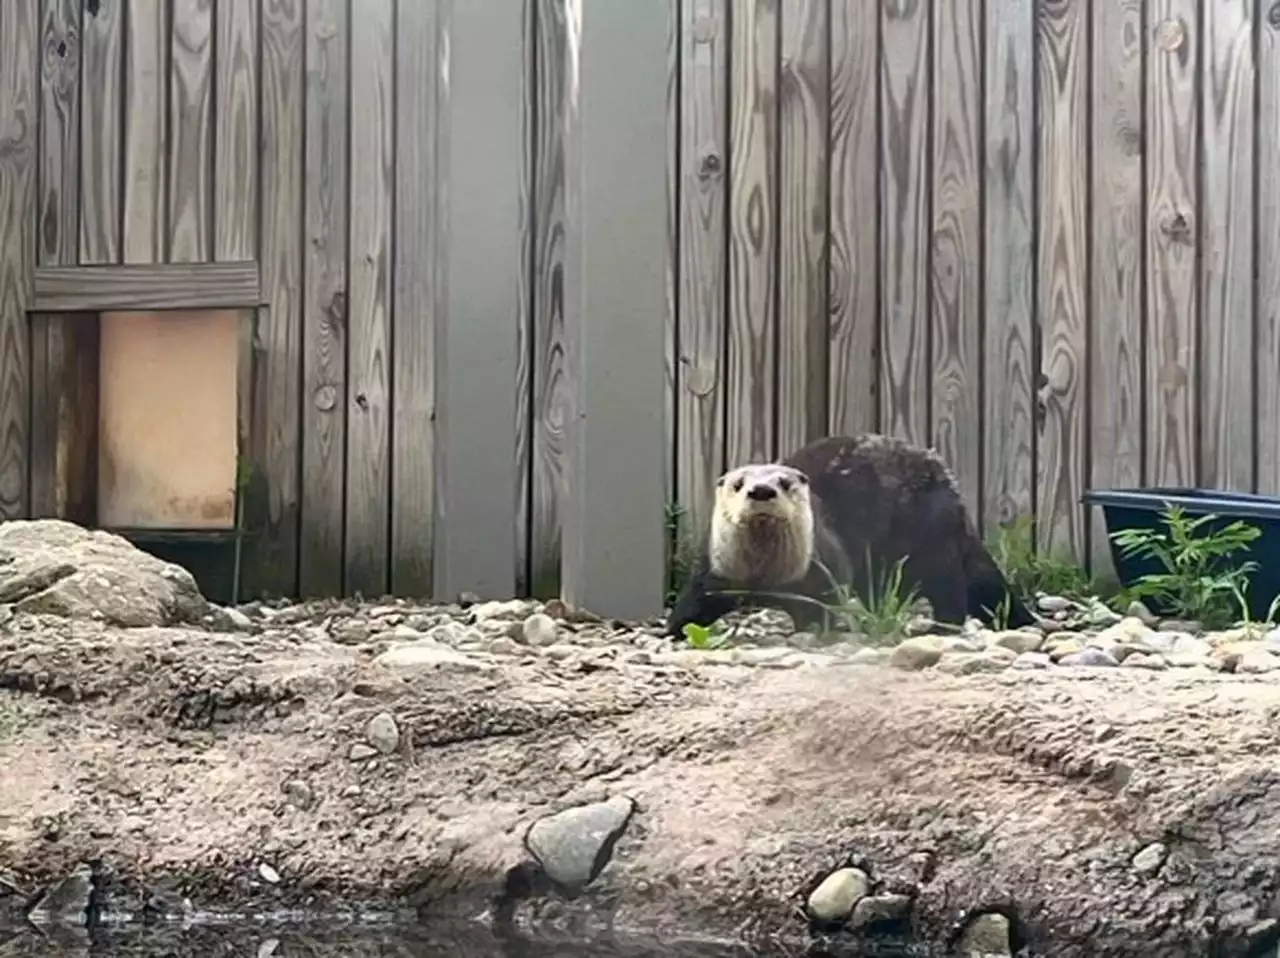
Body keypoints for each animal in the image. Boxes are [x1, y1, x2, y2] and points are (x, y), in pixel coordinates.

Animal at [670, 432, 1039, 635]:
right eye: (738, 483)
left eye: (785, 483)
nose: (761, 490)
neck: (765, 579)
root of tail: (952, 490)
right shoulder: (716, 570)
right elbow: (692, 602)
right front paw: (674, 632)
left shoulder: (823, 572)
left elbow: (821, 607)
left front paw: (815, 632)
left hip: (933, 540)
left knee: (949, 591)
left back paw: (941, 628)